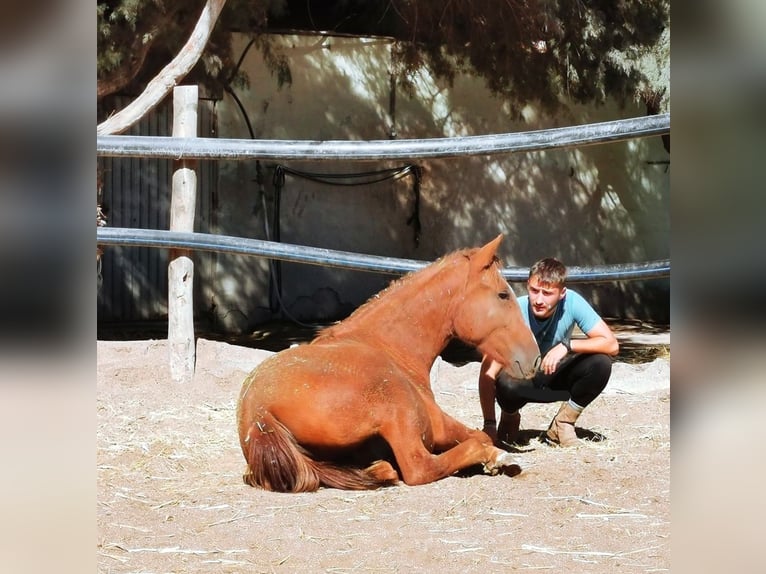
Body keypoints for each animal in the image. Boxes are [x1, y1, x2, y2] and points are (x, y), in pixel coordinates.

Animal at [237, 236, 544, 492]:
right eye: (503, 294)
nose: (535, 357)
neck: (389, 347)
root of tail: (258, 412)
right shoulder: (439, 425)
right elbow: (481, 437)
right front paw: (497, 458)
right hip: (400, 415)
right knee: (420, 467)